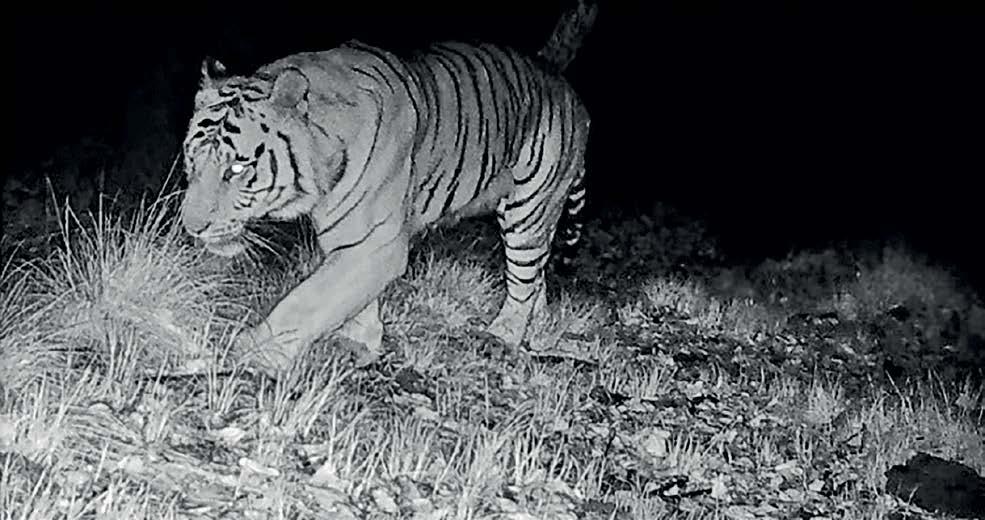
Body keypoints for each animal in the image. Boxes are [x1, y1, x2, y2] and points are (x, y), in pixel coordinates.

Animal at [179, 0, 598, 375]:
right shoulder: (352, 239)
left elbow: (308, 300)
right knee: (537, 276)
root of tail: (550, 66)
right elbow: (351, 298)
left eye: (237, 167)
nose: (192, 227)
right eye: (191, 158)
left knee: (525, 279)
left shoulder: (376, 242)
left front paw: (253, 351)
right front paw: (359, 343)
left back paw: (503, 337)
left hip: (529, 210)